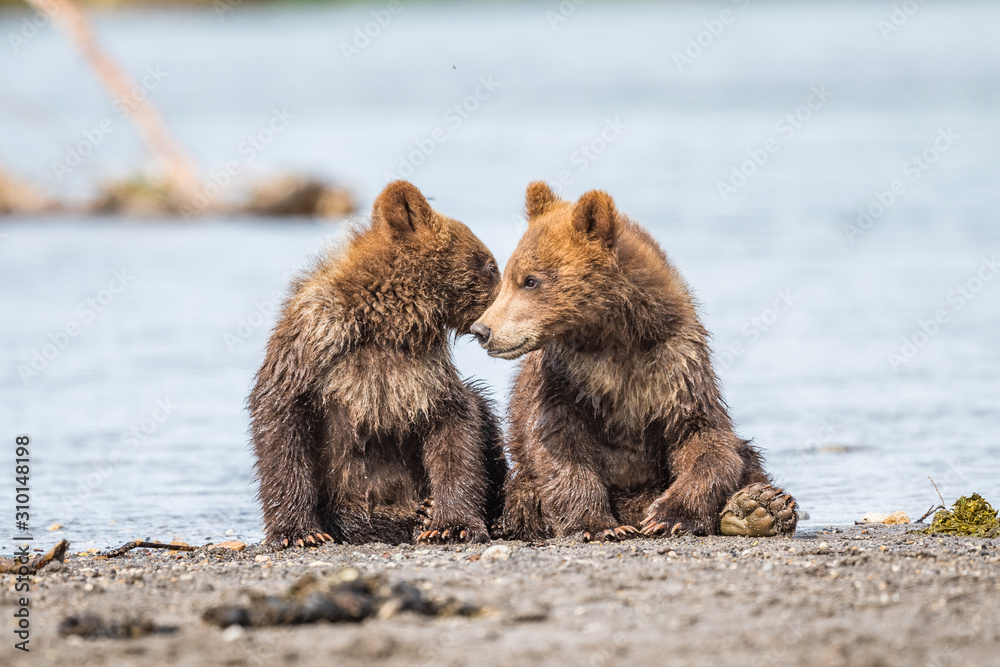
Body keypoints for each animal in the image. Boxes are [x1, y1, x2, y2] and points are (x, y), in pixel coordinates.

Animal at [249, 181, 507, 548]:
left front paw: (450, 524)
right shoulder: (315, 346)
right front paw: (298, 532)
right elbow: (281, 425)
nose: (499, 315)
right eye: (489, 266)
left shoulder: (424, 375)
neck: (388, 318)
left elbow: (457, 428)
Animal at [469, 182, 797, 541]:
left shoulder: (676, 364)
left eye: (530, 280)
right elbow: (559, 447)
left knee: (747, 457)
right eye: (509, 276)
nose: (482, 329)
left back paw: (760, 506)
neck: (614, 336)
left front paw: (670, 515)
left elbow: (702, 437)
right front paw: (598, 525)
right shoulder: (563, 378)